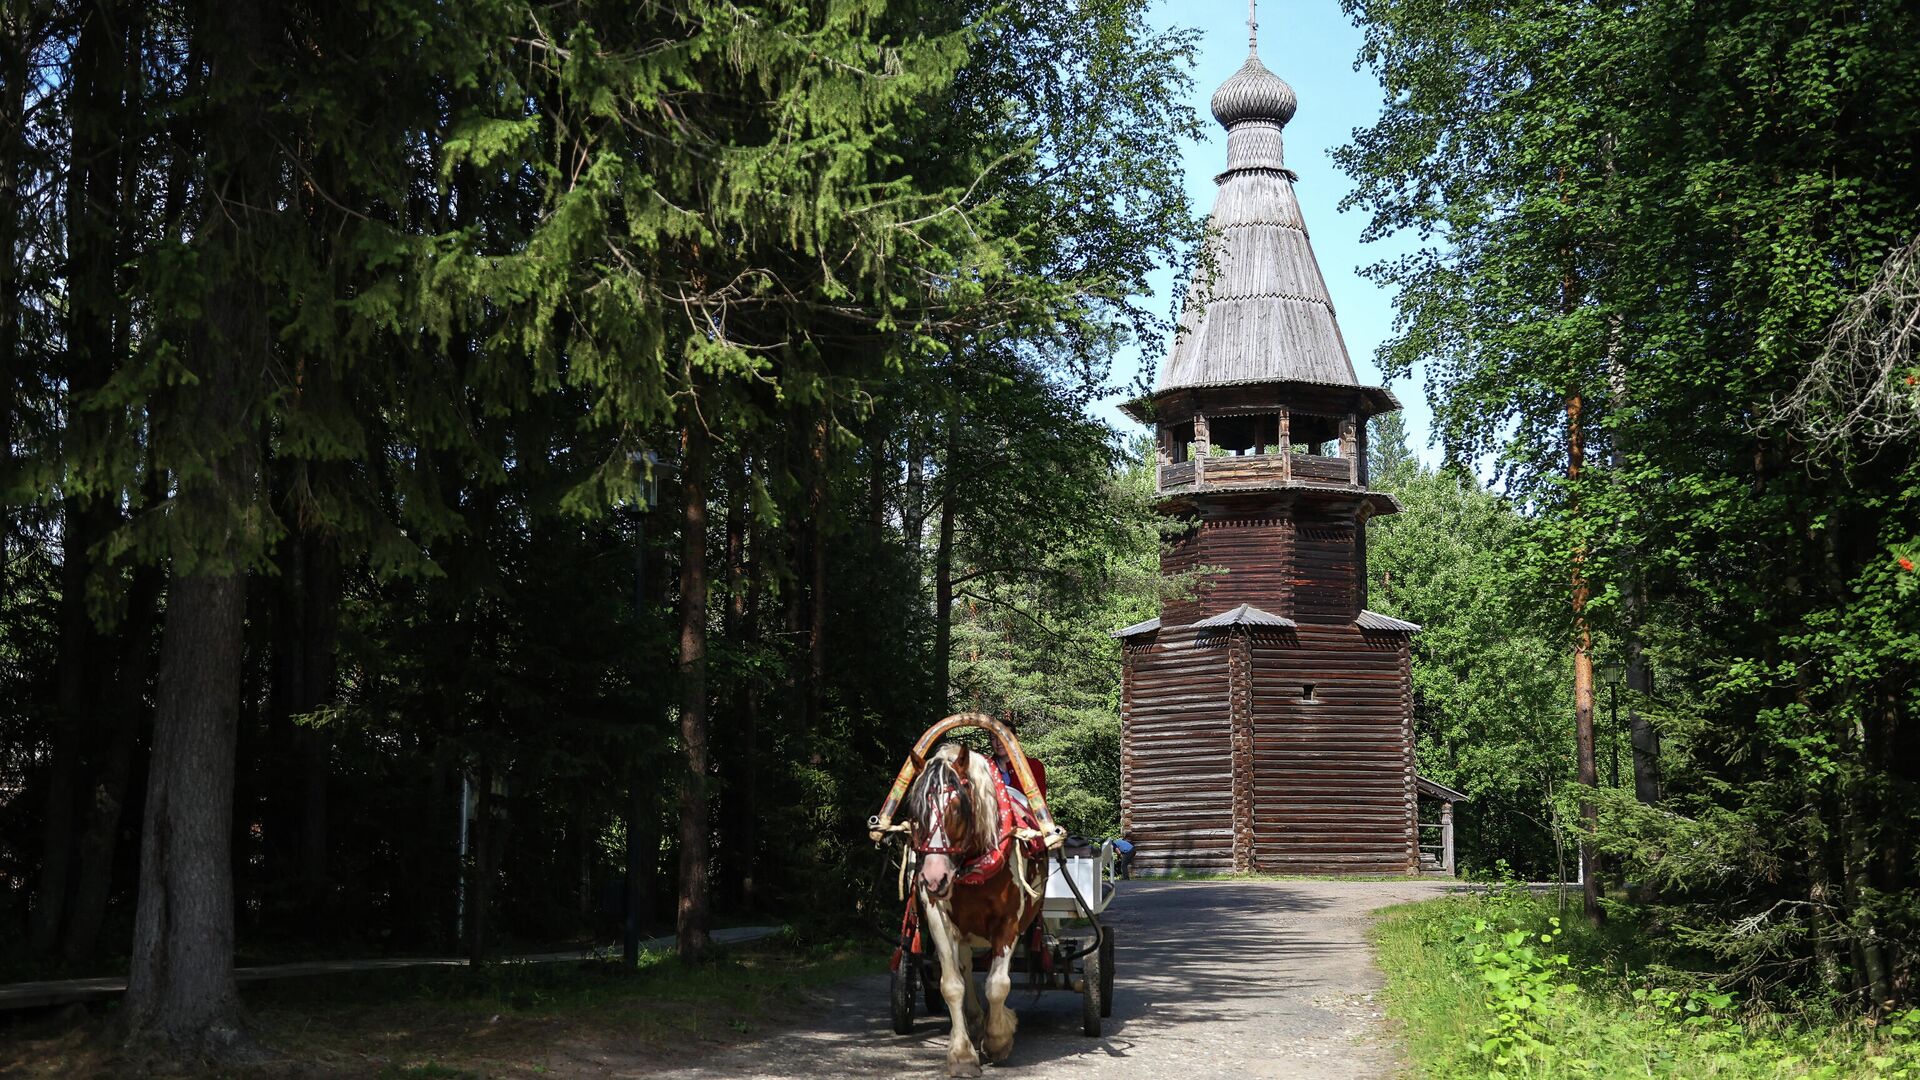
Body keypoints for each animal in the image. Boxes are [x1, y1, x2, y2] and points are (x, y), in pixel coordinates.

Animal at [902, 734, 1044, 1068]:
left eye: (957, 806)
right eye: (915, 810)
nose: (934, 877)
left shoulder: (1008, 924)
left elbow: (998, 984)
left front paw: (998, 1039)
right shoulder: (938, 918)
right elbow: (952, 983)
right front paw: (962, 1052)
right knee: (965, 966)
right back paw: (976, 1018)